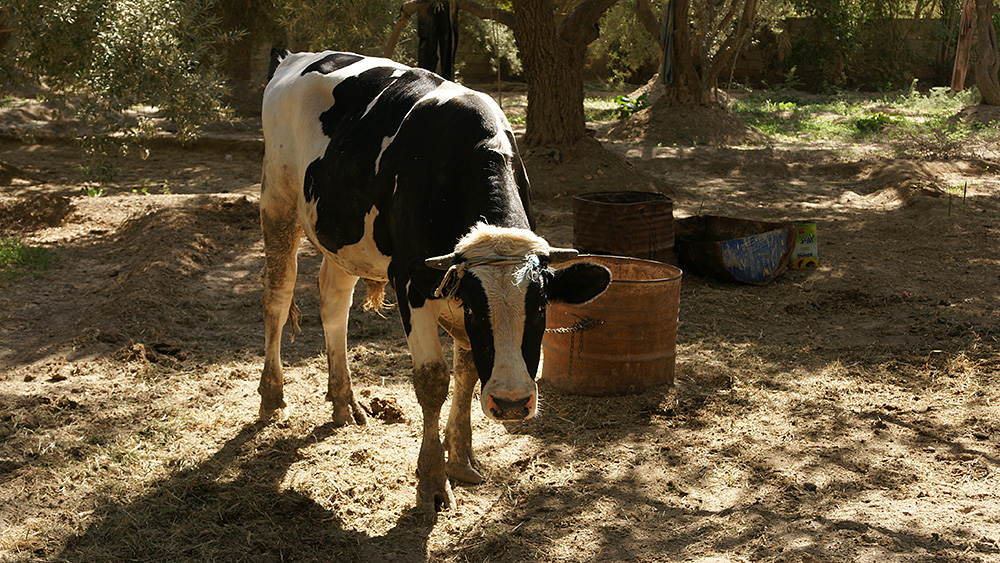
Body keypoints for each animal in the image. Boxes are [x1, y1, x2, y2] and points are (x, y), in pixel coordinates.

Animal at [258, 51, 608, 512]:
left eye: (540, 307)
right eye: (477, 307)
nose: (512, 403)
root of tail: (296, 58)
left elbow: (468, 372)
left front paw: (460, 458)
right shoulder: (411, 281)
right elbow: (433, 381)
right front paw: (432, 481)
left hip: (343, 238)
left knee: (334, 307)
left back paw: (344, 400)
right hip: (277, 202)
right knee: (277, 301)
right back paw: (272, 395)